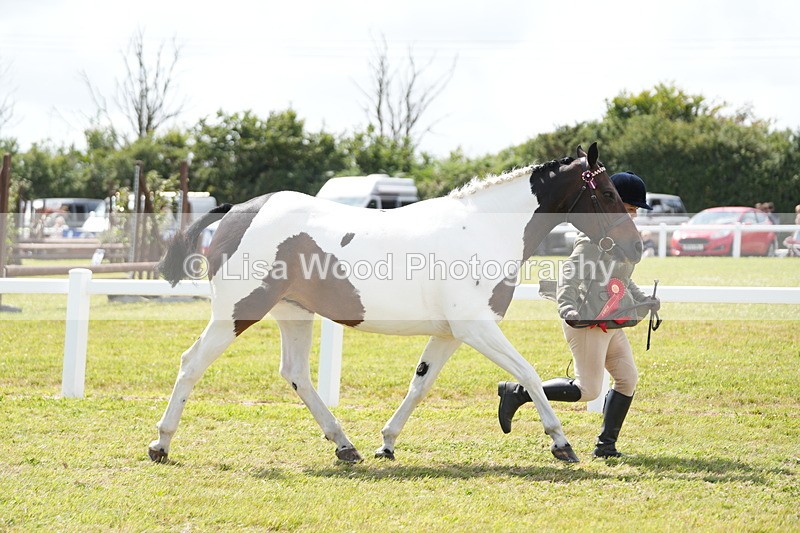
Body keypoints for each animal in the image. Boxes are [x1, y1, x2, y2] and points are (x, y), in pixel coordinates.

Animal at [148, 142, 643, 465]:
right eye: (606, 193)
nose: (636, 247)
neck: (484, 230)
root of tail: (237, 211)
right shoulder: (476, 328)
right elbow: (528, 373)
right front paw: (561, 444)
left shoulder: (450, 334)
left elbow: (419, 385)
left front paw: (386, 443)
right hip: (236, 313)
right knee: (191, 363)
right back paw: (161, 444)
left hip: (294, 314)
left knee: (295, 375)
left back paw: (344, 445)